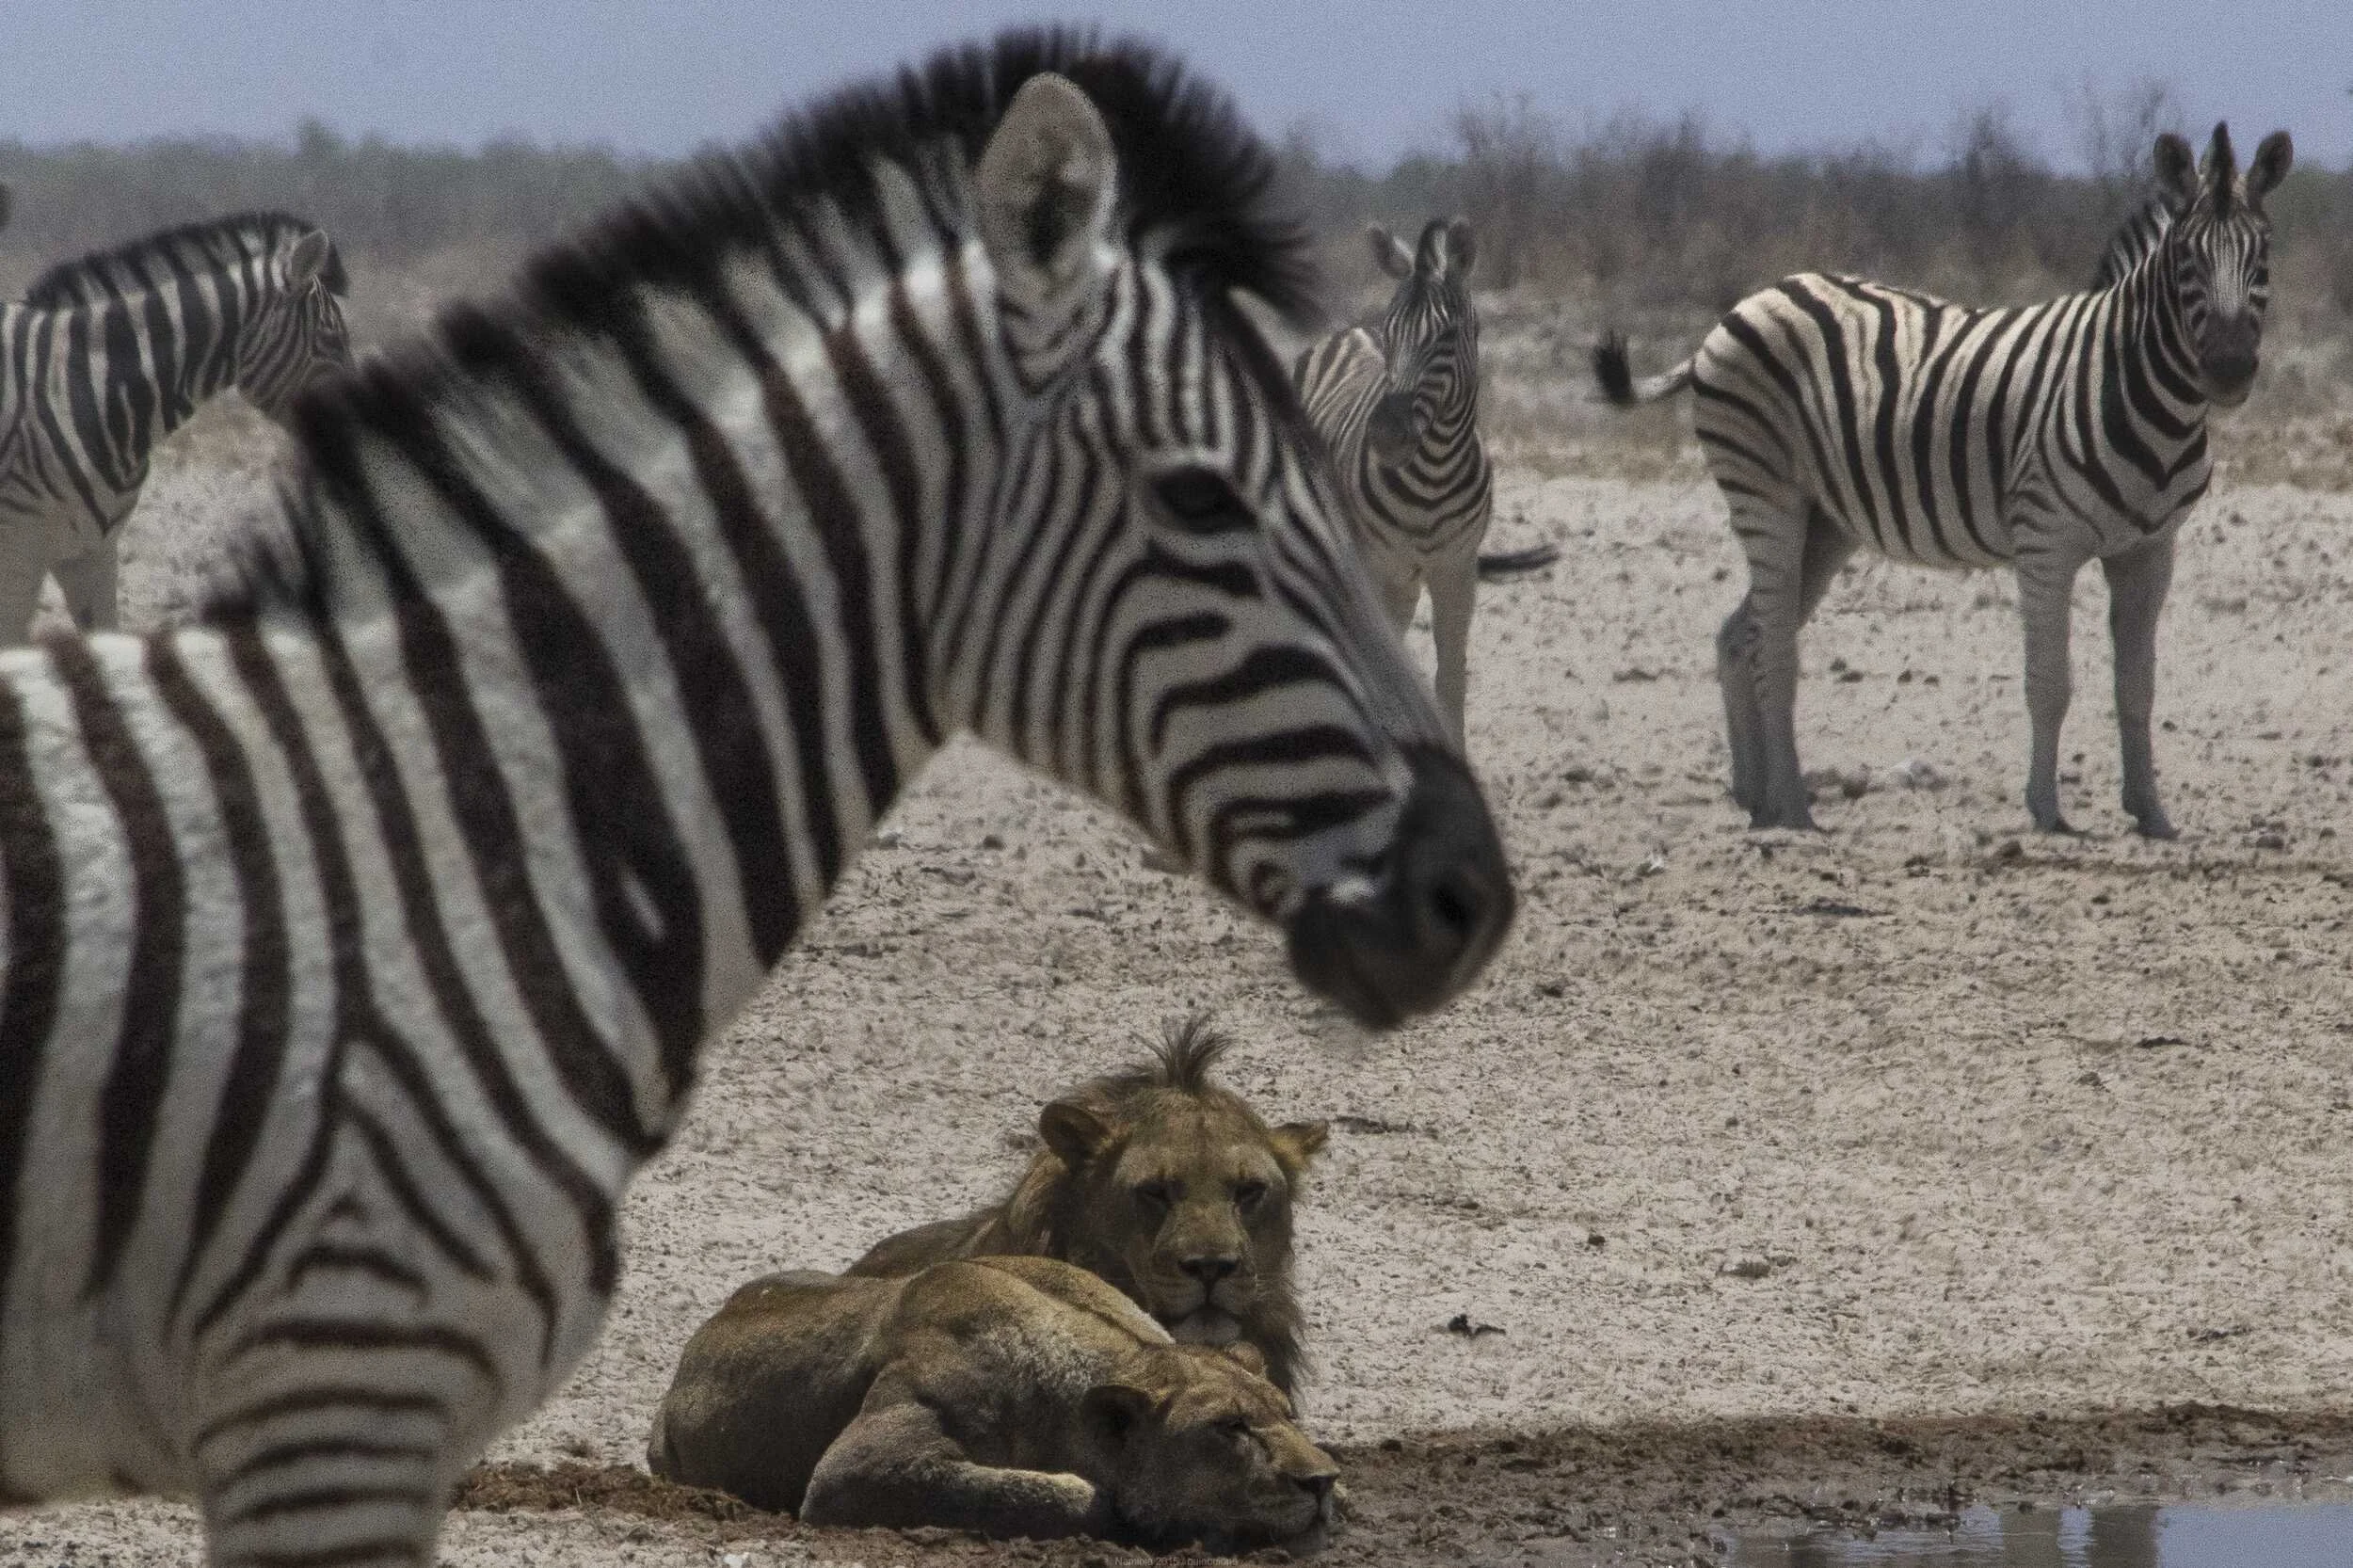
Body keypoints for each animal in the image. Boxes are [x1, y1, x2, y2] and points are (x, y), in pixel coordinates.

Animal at [1294, 218, 1492, 744]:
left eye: (1449, 334)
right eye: (1391, 331)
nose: (1385, 433)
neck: (1433, 477)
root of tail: (1346, 332)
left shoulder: (1457, 570)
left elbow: (1450, 679)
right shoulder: (1375, 565)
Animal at [1595, 123, 2290, 837]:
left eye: (2263, 255)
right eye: (2186, 260)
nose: (2228, 370)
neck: (2130, 384)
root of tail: (1746, 302)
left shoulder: (2151, 549)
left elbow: (2138, 688)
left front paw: (2151, 814)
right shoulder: (2046, 540)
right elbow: (2050, 682)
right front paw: (2046, 810)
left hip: (1826, 522)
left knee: (1744, 636)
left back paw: (1757, 799)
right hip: (1766, 491)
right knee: (1774, 649)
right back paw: (1794, 807)